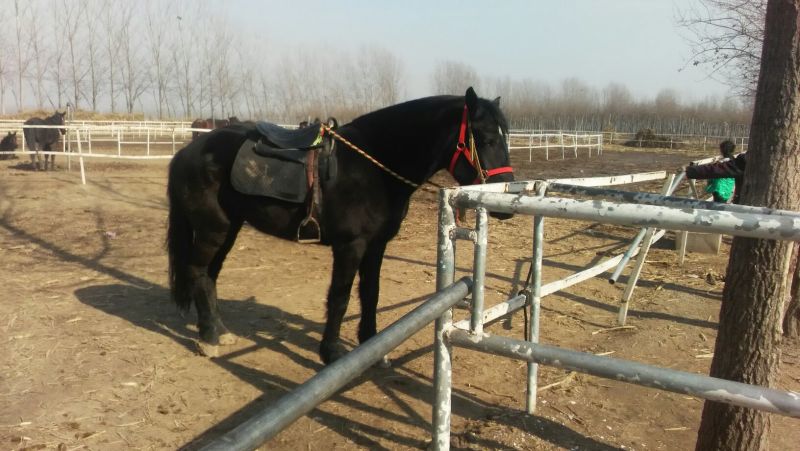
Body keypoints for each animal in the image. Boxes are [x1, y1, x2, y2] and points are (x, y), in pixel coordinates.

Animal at [166, 87, 514, 364]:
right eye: (485, 138)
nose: (505, 204)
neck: (374, 166)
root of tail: (187, 152)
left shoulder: (376, 245)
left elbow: (370, 293)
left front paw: (372, 346)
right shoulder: (351, 246)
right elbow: (340, 297)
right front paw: (331, 352)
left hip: (228, 229)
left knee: (208, 276)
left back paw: (219, 331)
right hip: (213, 230)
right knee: (197, 271)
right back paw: (209, 338)